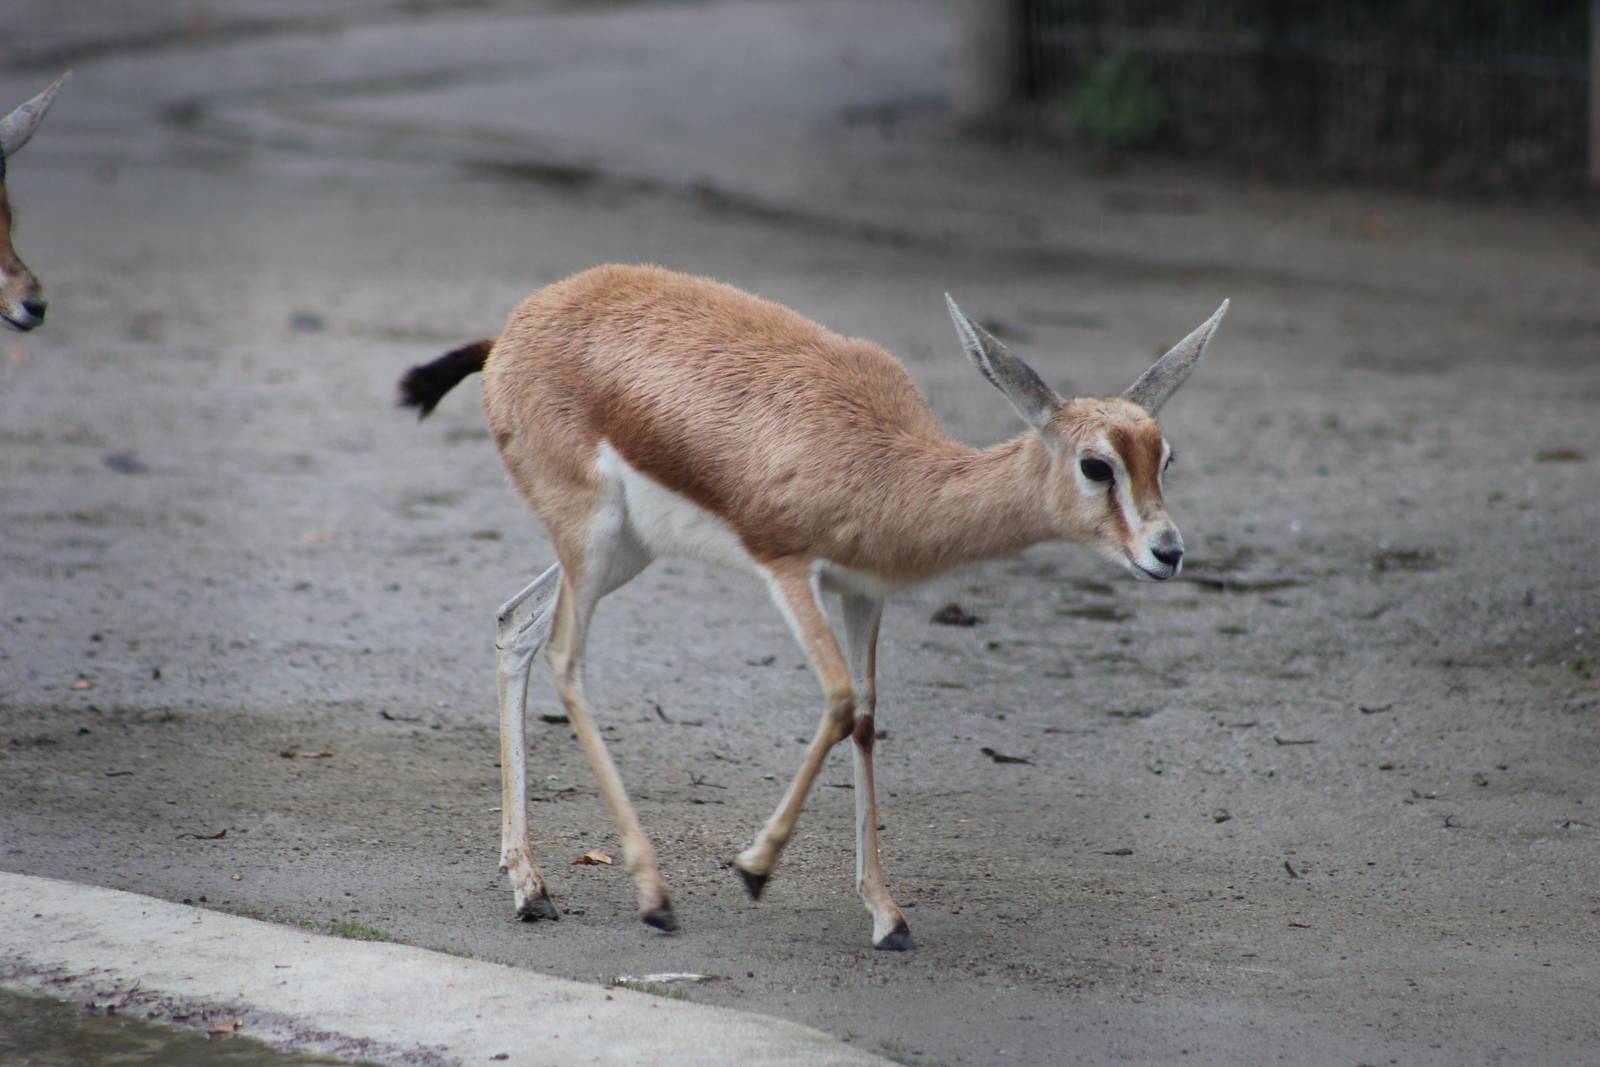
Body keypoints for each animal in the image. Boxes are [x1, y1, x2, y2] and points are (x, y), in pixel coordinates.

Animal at [399, 264, 1226, 949]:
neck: (885, 466)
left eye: (1165, 456)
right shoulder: (788, 568)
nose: (1167, 552)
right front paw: (754, 868)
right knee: (566, 656)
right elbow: (835, 698)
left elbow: (865, 716)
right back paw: (653, 896)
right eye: (1096, 464)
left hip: (624, 551)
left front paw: (887, 915)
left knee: (516, 625)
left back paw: (529, 885)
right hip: (593, 537)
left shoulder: (862, 592)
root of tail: (514, 328)